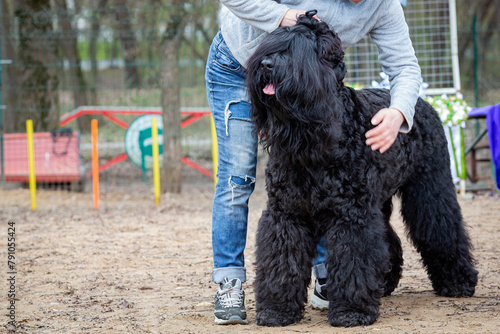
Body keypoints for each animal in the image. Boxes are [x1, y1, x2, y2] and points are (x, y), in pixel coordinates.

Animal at [245, 12, 476, 326]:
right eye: (273, 43)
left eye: (301, 48)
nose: (267, 64)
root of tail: (423, 103)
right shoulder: (286, 213)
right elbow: (281, 259)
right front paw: (277, 309)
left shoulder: (352, 215)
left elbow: (353, 257)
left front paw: (352, 311)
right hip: (379, 201)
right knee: (388, 240)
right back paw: (385, 282)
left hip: (430, 189)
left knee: (442, 227)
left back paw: (459, 282)